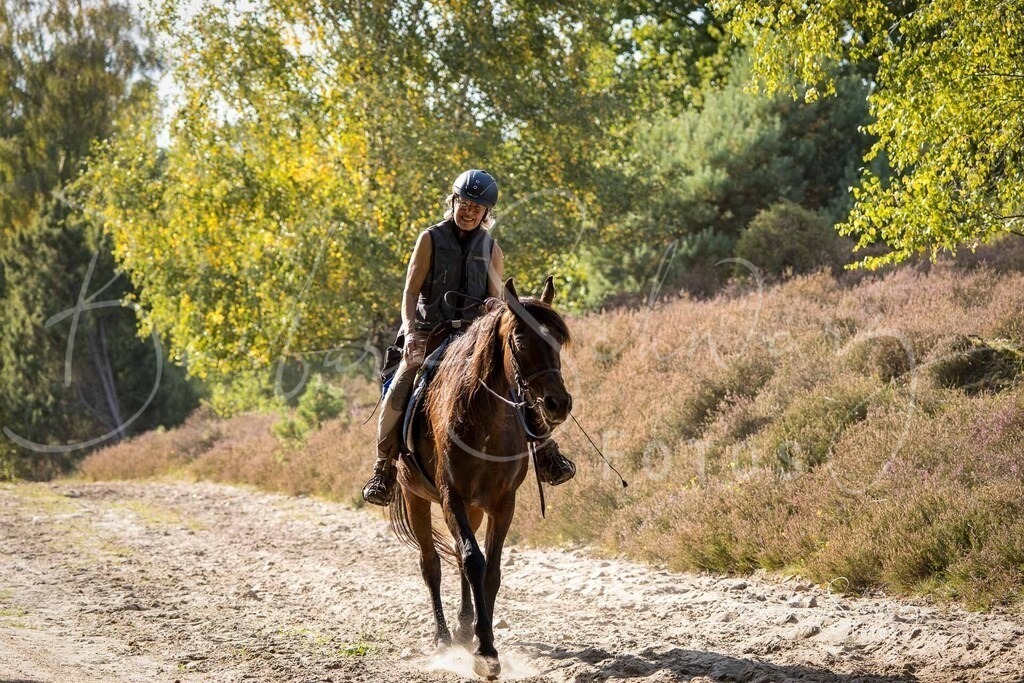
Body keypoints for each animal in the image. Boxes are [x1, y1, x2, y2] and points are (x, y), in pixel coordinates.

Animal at [388, 275, 572, 679]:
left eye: (558, 340)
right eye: (521, 340)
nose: (558, 404)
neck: (486, 420)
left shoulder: (503, 502)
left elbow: (491, 570)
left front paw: (480, 638)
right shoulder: (450, 497)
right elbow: (474, 560)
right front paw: (485, 652)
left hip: (472, 508)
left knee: (457, 558)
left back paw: (462, 626)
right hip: (416, 497)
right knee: (432, 564)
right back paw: (443, 638)